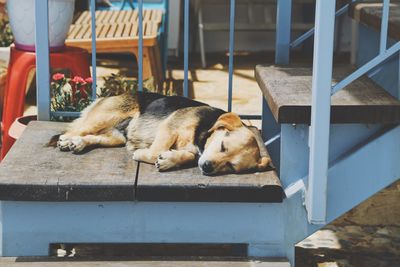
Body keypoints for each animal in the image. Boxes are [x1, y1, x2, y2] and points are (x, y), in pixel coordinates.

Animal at [57, 92, 272, 176]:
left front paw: (170, 159)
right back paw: (67, 140)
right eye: (222, 146)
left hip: (114, 137)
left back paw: (79, 143)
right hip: (106, 116)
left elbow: (188, 156)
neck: (205, 127)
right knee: (73, 130)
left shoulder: (196, 151)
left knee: (91, 137)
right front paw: (144, 154)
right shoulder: (169, 127)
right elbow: (154, 152)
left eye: (231, 166)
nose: (208, 167)